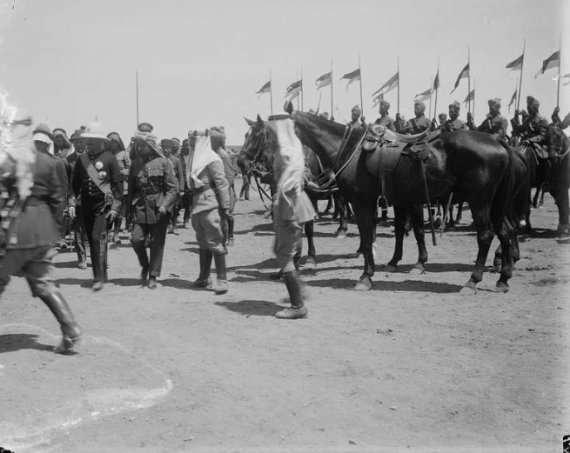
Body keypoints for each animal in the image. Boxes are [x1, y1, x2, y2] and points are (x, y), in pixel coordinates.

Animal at [286, 104, 516, 294]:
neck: (350, 149)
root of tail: (497, 141)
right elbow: (385, 234)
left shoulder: (362, 203)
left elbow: (368, 238)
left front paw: (365, 277)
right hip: (496, 204)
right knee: (505, 232)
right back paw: (503, 279)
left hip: (480, 202)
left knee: (485, 236)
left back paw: (472, 281)